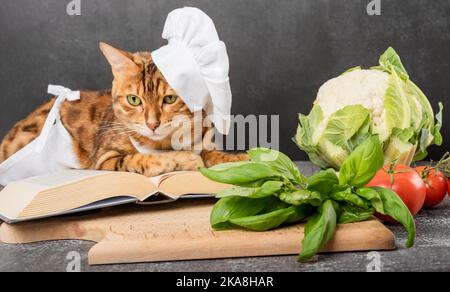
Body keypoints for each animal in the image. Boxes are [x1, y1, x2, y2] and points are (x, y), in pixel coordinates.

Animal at [0, 42, 250, 177]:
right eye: (134, 100)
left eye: (169, 98)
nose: (152, 124)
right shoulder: (104, 160)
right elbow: (141, 160)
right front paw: (186, 160)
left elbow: (216, 155)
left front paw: (243, 158)